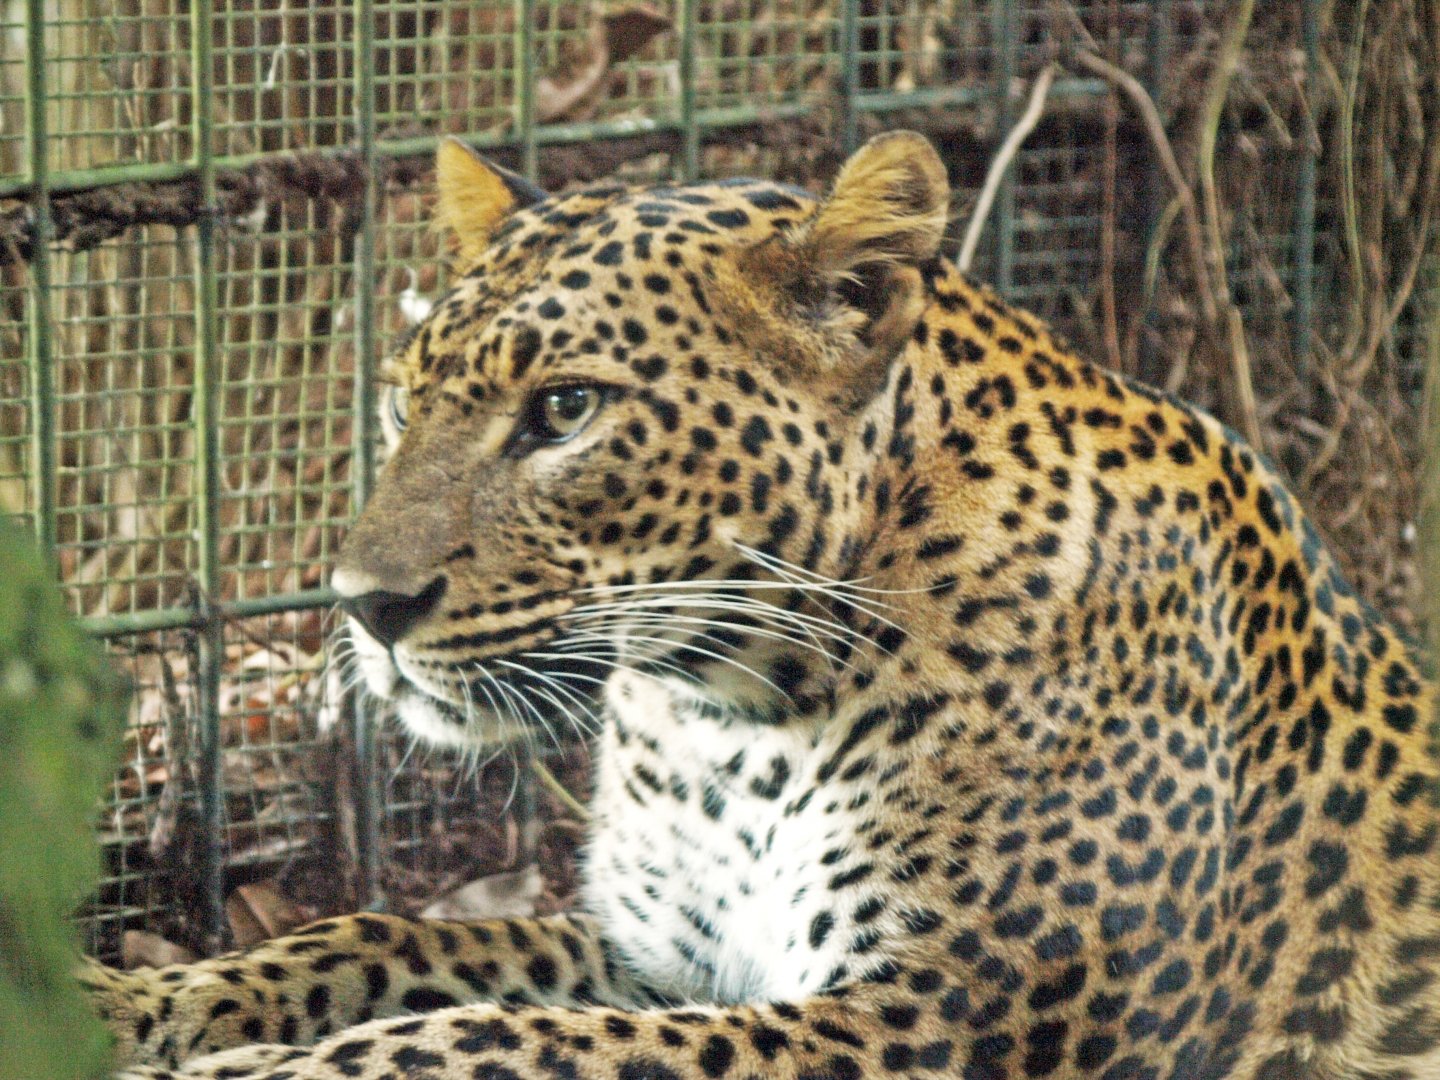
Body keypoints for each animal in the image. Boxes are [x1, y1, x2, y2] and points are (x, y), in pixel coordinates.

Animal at [83, 130, 1440, 1080]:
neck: (729, 718)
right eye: (407, 400)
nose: (365, 607)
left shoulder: (926, 1019)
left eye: (565, 410)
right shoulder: (661, 954)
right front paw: (133, 1007)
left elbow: (496, 1039)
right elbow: (395, 943)